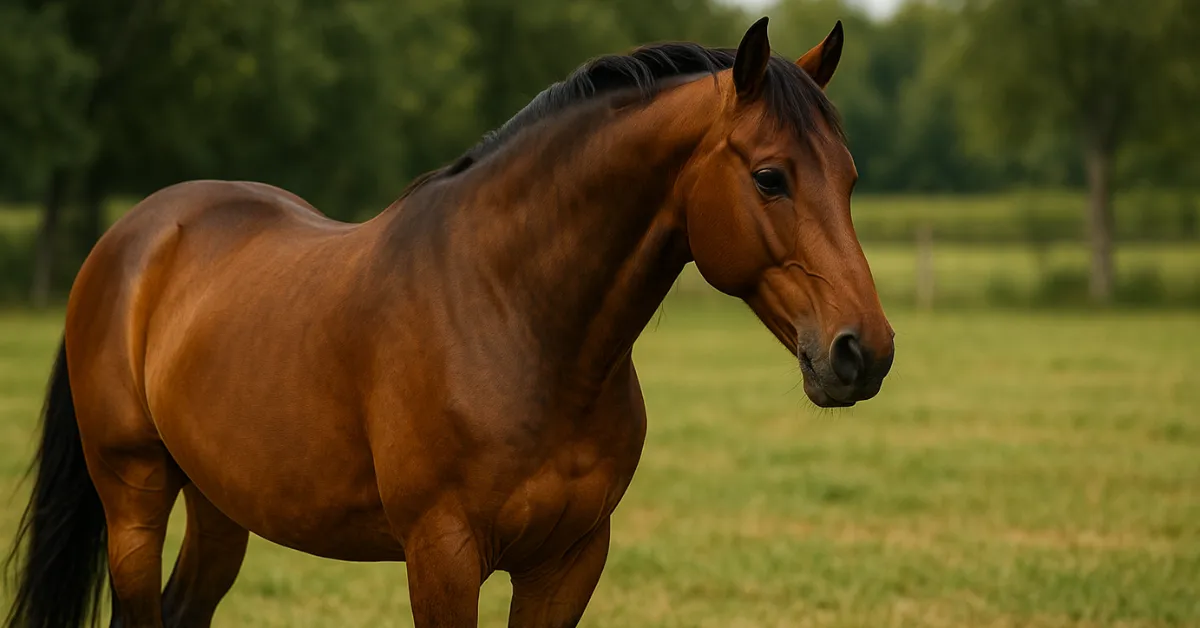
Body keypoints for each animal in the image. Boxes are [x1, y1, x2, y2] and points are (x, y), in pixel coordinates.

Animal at [5, 17, 893, 628]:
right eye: (771, 177)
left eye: (851, 178)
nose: (864, 352)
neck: (515, 320)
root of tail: (133, 236)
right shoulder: (442, 556)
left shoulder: (568, 560)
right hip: (134, 495)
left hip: (222, 504)